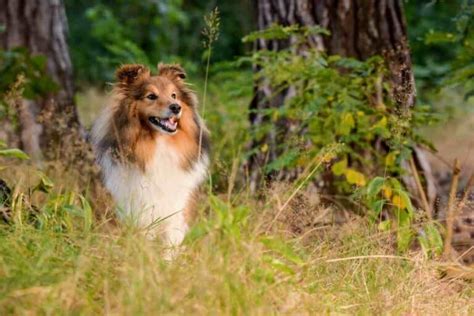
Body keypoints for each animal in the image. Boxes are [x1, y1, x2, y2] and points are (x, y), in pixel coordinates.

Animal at [92, 63, 209, 247]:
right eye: (151, 96)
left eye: (174, 95)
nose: (176, 107)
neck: (159, 144)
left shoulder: (176, 211)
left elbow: (170, 245)